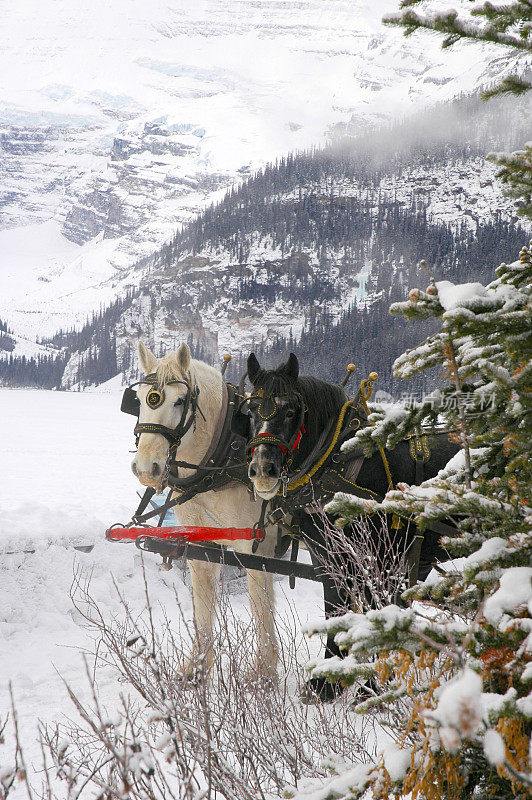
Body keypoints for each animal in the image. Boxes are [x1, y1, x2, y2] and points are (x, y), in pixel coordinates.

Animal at [131, 340, 278, 680]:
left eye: (179, 401)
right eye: (139, 400)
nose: (146, 468)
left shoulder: (257, 548)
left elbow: (262, 612)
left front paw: (263, 677)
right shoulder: (201, 544)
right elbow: (203, 605)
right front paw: (196, 668)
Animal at [239, 354, 460, 700]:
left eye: (290, 411)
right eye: (249, 410)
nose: (263, 469)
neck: (341, 464)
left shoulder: (382, 558)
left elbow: (375, 611)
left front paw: (372, 686)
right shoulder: (327, 554)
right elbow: (336, 607)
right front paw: (328, 682)